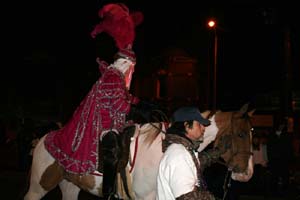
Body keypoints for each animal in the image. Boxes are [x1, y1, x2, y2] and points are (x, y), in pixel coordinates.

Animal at [24, 104, 254, 199]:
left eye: (252, 133)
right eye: (241, 134)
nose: (247, 174)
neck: (164, 149)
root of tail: (43, 139)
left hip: (70, 186)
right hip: (38, 187)